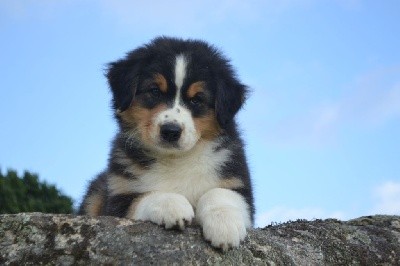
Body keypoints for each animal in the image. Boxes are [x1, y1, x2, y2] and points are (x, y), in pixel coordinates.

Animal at [79, 36, 255, 250]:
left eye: (197, 99)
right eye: (154, 91)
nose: (171, 131)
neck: (175, 159)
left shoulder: (237, 182)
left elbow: (220, 193)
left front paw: (224, 225)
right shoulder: (120, 196)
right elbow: (146, 196)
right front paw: (173, 205)